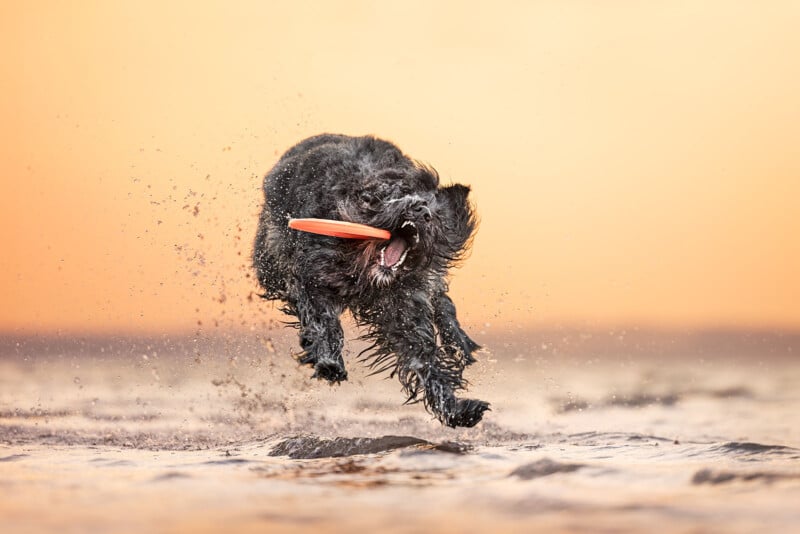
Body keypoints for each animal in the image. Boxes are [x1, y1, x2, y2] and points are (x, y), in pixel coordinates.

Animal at [253, 136, 488, 430]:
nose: (421, 210)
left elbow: (424, 359)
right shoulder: (310, 277)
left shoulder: (405, 308)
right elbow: (322, 322)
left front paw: (458, 409)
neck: (366, 272)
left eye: (436, 212)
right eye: (398, 195)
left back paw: (459, 343)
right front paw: (329, 361)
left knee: (443, 303)